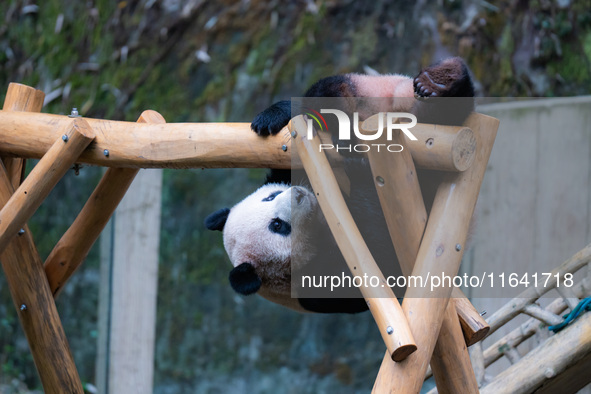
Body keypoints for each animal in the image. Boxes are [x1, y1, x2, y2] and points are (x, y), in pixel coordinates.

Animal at [206, 56, 474, 314]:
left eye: (270, 197)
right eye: (277, 225)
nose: (297, 194)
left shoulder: (289, 166)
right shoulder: (321, 286)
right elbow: (383, 258)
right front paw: (359, 177)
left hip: (384, 92)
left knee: (327, 92)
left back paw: (438, 81)